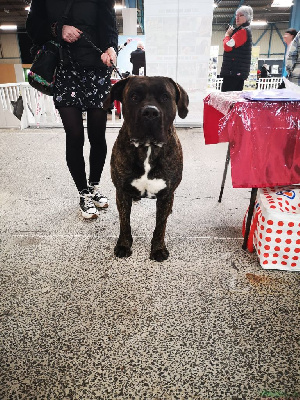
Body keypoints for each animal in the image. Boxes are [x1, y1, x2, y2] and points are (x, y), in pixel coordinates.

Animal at [103, 76, 188, 260]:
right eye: (134, 97)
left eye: (165, 97)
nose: (150, 112)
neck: (148, 149)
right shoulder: (121, 192)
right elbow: (124, 222)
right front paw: (123, 245)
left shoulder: (166, 195)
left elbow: (160, 226)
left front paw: (158, 249)